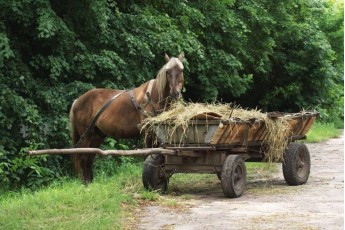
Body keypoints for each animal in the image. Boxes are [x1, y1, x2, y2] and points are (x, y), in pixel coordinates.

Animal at [68, 53, 184, 182]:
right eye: (167, 71)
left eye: (181, 70)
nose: (175, 93)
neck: (153, 96)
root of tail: (77, 100)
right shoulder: (147, 131)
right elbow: (149, 153)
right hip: (86, 135)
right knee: (84, 158)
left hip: (96, 135)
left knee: (89, 158)